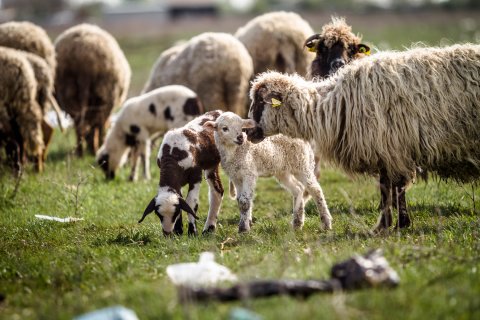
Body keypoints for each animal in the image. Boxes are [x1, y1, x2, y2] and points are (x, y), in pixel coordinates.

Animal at [54, 23, 131, 157]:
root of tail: (84, 56)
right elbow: (98, 128)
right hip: (104, 95)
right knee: (99, 125)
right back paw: (97, 148)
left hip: (69, 93)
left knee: (79, 125)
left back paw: (80, 153)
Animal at [202, 112, 330, 232]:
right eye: (224, 128)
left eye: (241, 127)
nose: (240, 138)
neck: (234, 153)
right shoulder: (235, 176)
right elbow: (240, 201)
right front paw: (245, 224)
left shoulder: (249, 173)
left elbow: (244, 201)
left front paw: (243, 229)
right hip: (282, 171)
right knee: (298, 189)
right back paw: (297, 224)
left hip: (302, 165)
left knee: (316, 190)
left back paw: (326, 223)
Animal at [248, 43, 480, 231]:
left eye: (260, 102)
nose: (248, 132)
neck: (332, 105)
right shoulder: (388, 150)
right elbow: (390, 188)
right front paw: (393, 224)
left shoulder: (393, 147)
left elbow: (392, 188)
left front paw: (392, 225)